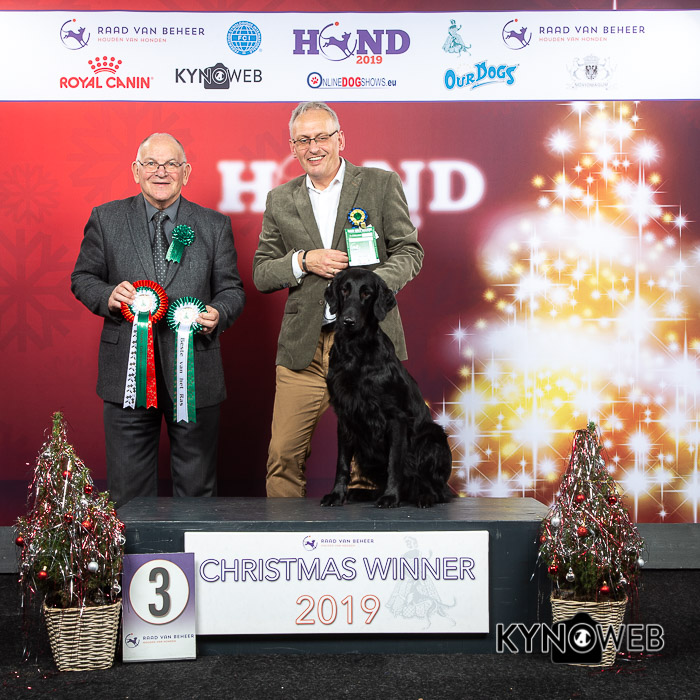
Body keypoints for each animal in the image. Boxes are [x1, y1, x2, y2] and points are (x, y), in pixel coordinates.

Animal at [320, 268, 452, 508]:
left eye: (367, 293)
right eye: (344, 290)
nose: (348, 321)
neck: (355, 352)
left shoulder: (396, 418)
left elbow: (394, 462)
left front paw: (391, 496)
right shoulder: (344, 415)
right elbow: (341, 462)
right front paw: (336, 494)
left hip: (434, 436)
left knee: (437, 488)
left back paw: (425, 496)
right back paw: (362, 493)